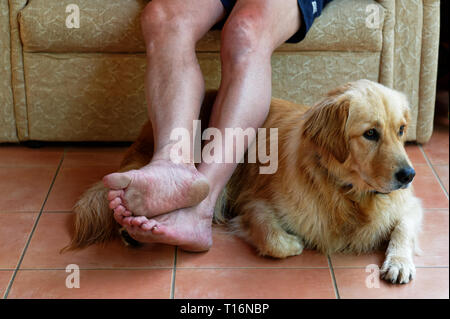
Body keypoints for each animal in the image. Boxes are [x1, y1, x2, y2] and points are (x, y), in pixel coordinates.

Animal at [67, 79, 422, 284]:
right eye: (370, 134)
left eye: (401, 130)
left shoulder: (410, 203)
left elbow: (403, 226)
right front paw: (293, 243)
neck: (345, 191)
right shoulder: (255, 202)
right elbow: (276, 241)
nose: (409, 175)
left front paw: (399, 261)